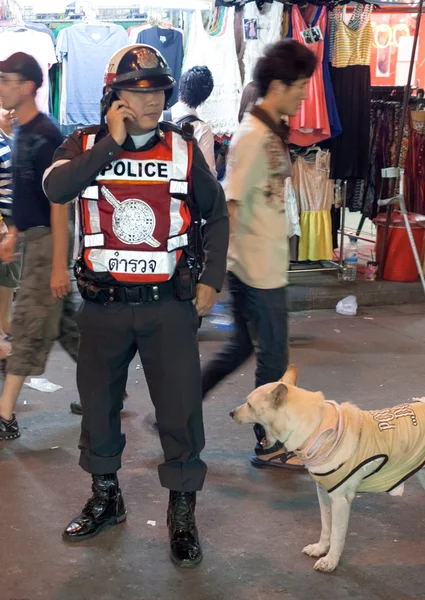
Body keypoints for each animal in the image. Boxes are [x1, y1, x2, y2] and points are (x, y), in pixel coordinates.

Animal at [230, 366, 424, 572]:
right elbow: (326, 526)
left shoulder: (340, 500)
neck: (317, 429)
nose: (231, 413)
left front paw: (330, 561)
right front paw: (320, 548)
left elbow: (337, 534)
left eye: (249, 404)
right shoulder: (323, 493)